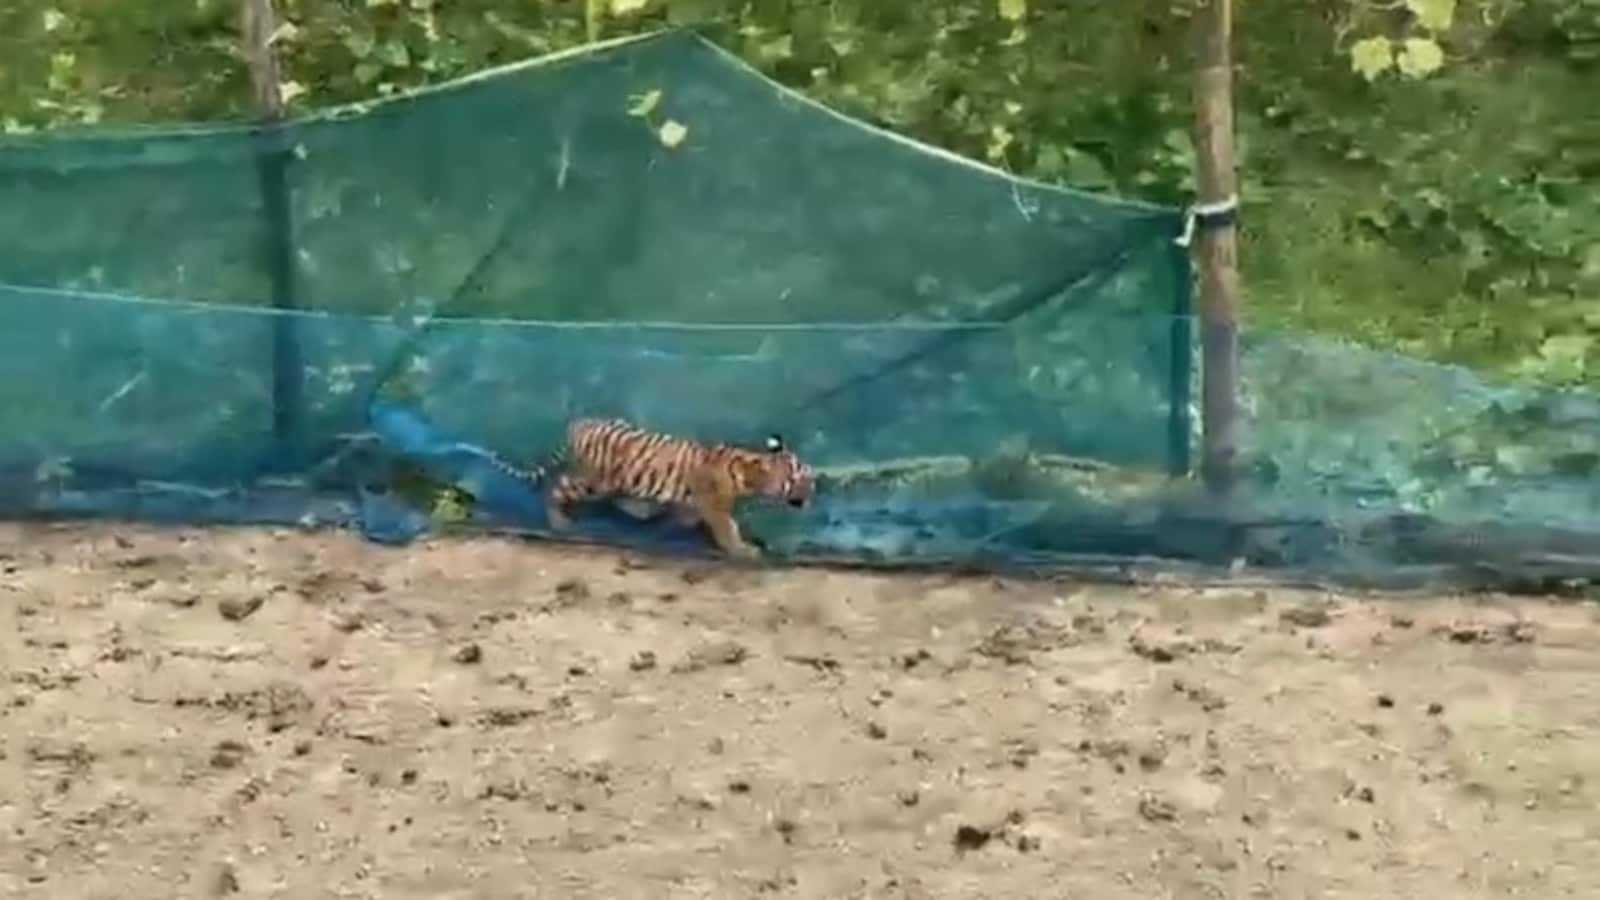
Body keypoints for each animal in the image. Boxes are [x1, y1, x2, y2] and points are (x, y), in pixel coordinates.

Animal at [486, 417, 815, 559]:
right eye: (798, 478)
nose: (814, 491)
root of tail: (578, 424)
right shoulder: (714, 507)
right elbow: (727, 529)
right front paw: (742, 549)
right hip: (596, 482)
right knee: (558, 487)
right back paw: (560, 522)